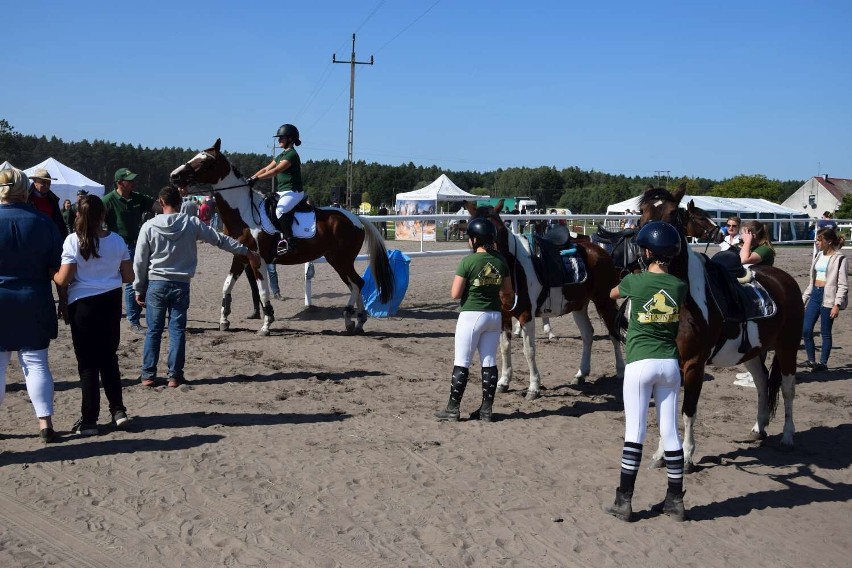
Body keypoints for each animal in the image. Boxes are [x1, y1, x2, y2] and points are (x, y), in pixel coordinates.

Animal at [171, 140, 396, 336]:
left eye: (205, 161)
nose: (174, 176)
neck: (244, 211)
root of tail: (356, 218)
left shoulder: (257, 260)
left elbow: (263, 292)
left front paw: (266, 325)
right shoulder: (240, 257)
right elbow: (227, 285)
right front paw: (224, 320)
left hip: (341, 260)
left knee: (357, 283)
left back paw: (351, 319)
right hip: (337, 260)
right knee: (355, 285)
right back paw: (357, 322)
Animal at [466, 200, 624, 400]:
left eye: (499, 230)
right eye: (473, 232)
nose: (490, 260)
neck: (515, 268)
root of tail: (601, 251)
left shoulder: (526, 315)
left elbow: (529, 351)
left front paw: (534, 387)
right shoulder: (503, 316)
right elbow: (504, 347)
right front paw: (503, 382)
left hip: (604, 301)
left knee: (614, 333)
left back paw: (621, 371)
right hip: (579, 305)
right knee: (588, 334)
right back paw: (581, 374)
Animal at [640, 185, 804, 470]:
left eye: (672, 213)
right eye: (641, 211)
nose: (647, 249)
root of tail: (785, 280)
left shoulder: (694, 364)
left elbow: (688, 411)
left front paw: (687, 456)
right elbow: (666, 409)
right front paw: (661, 454)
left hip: (788, 347)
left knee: (787, 388)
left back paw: (787, 436)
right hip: (752, 353)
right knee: (762, 382)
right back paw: (758, 429)